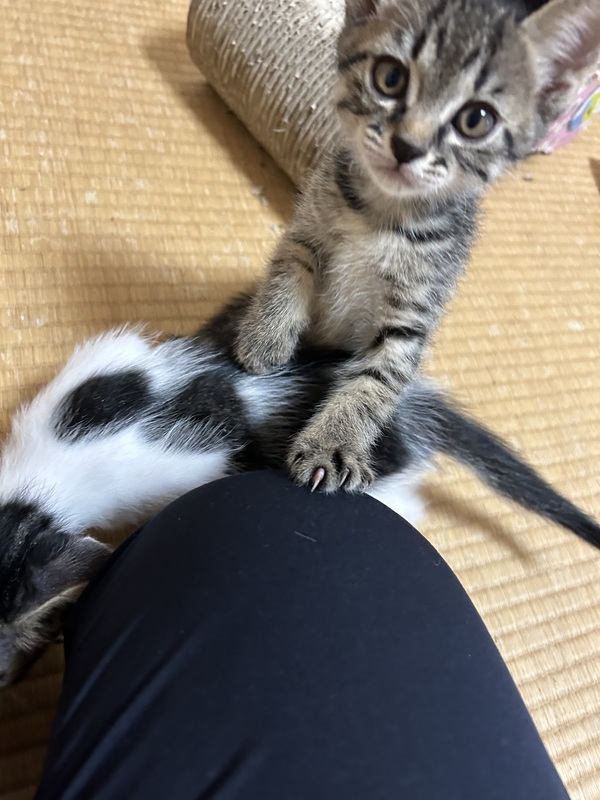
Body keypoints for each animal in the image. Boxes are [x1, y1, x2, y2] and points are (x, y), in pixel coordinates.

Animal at [234, 0, 600, 493]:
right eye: (390, 78)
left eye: (476, 119)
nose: (406, 145)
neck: (382, 217)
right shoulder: (311, 220)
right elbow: (289, 267)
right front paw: (265, 338)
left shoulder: (416, 310)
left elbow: (379, 377)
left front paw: (334, 443)